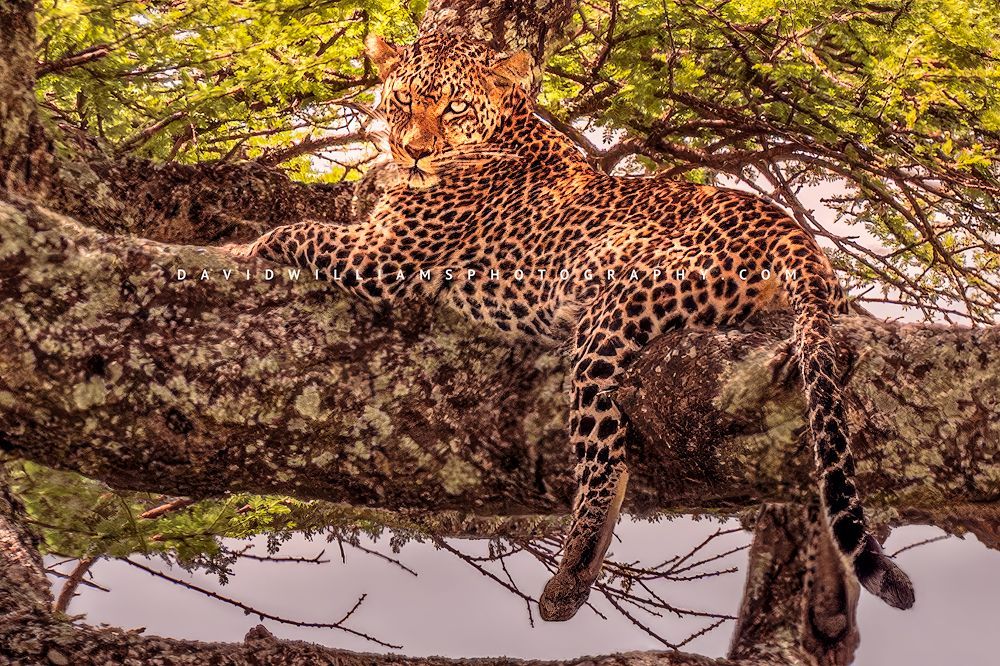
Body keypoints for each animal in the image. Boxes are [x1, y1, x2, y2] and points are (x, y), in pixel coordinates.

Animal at [226, 32, 915, 621]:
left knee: (606, 458)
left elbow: (301, 230)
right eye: (403, 101)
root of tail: (791, 231)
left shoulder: (386, 254)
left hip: (613, 317)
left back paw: (571, 577)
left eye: (453, 108)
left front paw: (244, 247)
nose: (416, 152)